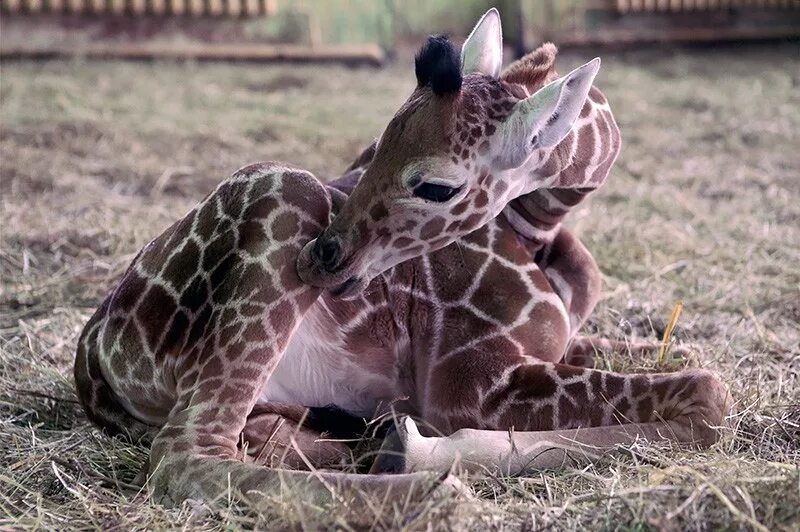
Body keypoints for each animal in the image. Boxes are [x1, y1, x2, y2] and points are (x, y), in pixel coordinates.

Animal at [75, 8, 732, 508]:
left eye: (437, 186)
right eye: (378, 143)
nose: (321, 259)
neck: (541, 225)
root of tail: (91, 350)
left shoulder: (554, 345)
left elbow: (689, 358)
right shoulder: (468, 383)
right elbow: (710, 393)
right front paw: (415, 450)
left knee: (256, 438)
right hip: (285, 195)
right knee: (184, 457)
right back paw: (432, 495)